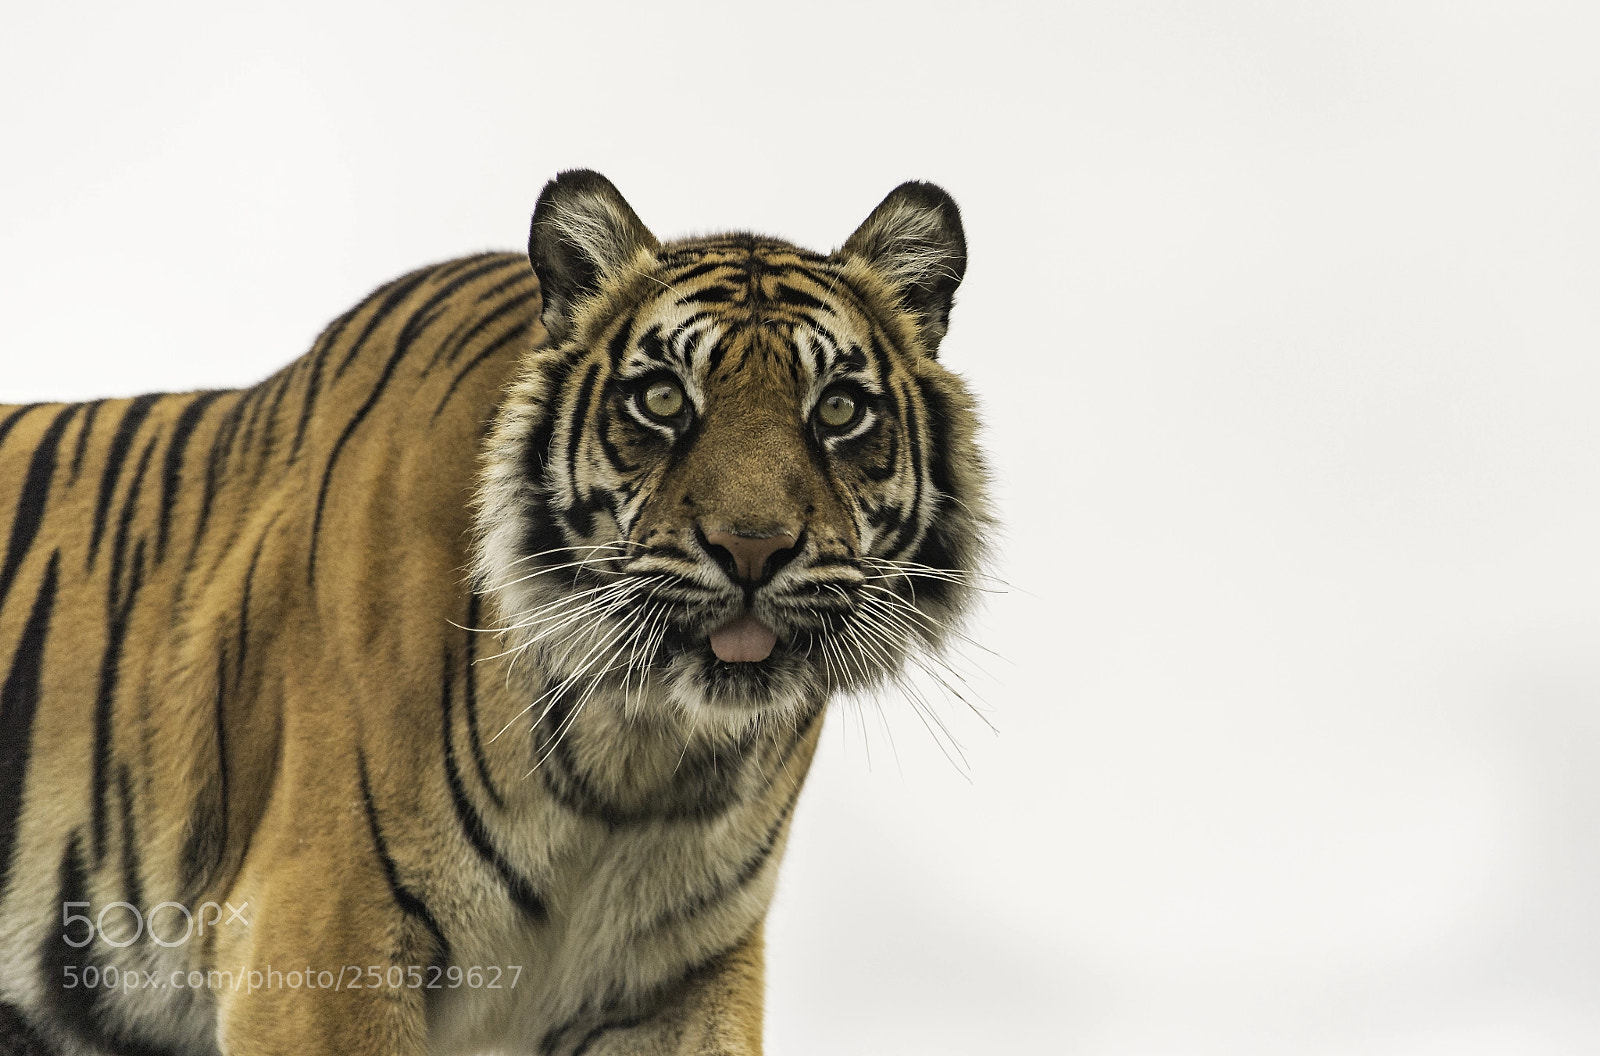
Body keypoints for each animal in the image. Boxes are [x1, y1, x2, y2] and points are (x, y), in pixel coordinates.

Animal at [0, 169, 990, 1055]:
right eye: (662, 398)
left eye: (839, 408)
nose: (752, 549)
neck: (640, 760)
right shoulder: (321, 945)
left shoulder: (676, 980)